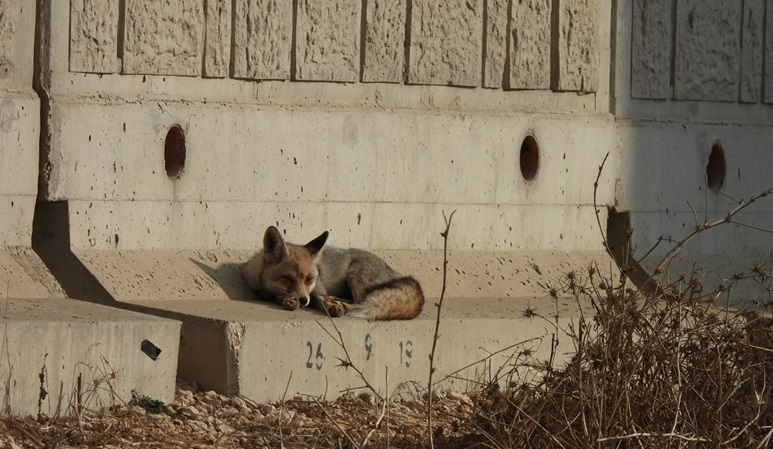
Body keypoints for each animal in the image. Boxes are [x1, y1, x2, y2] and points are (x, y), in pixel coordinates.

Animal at [243, 228, 426, 318]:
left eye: (310, 279)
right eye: (287, 278)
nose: (303, 300)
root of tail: (398, 273)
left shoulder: (318, 289)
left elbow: (321, 299)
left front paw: (331, 307)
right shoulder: (261, 290)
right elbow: (277, 296)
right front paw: (287, 300)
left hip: (355, 274)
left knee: (360, 301)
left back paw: (342, 305)